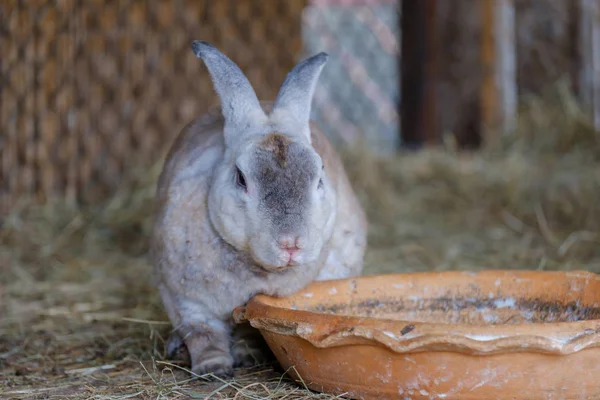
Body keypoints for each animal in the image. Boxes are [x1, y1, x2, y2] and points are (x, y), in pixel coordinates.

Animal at [149, 40, 366, 378]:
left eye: (319, 176)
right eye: (241, 178)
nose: (291, 243)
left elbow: (248, 329)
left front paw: (246, 357)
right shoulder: (187, 301)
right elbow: (203, 334)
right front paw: (214, 368)